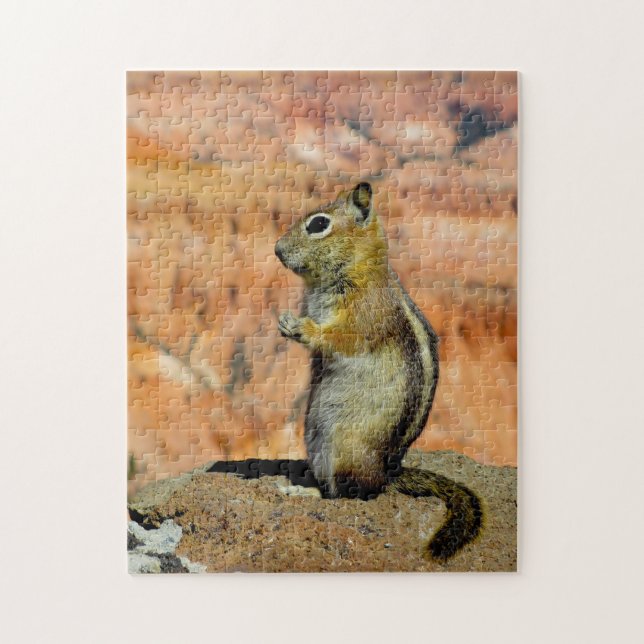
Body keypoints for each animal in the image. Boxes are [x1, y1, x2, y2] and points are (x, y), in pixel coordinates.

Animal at [274, 182, 483, 560]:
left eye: (318, 224)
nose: (276, 249)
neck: (359, 267)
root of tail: (388, 473)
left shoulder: (362, 315)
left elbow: (339, 338)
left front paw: (298, 326)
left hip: (342, 449)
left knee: (351, 495)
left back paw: (303, 492)